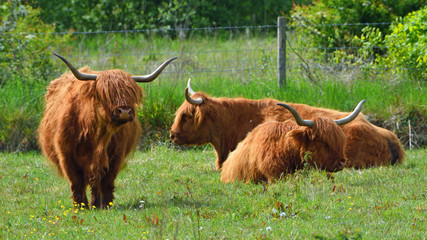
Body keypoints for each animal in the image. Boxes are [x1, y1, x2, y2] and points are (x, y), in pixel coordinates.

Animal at [37, 53, 176, 207]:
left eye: (130, 93)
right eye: (106, 93)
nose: (124, 111)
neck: (98, 134)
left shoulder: (116, 155)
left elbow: (107, 180)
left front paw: (106, 204)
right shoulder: (66, 154)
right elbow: (77, 182)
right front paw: (80, 206)